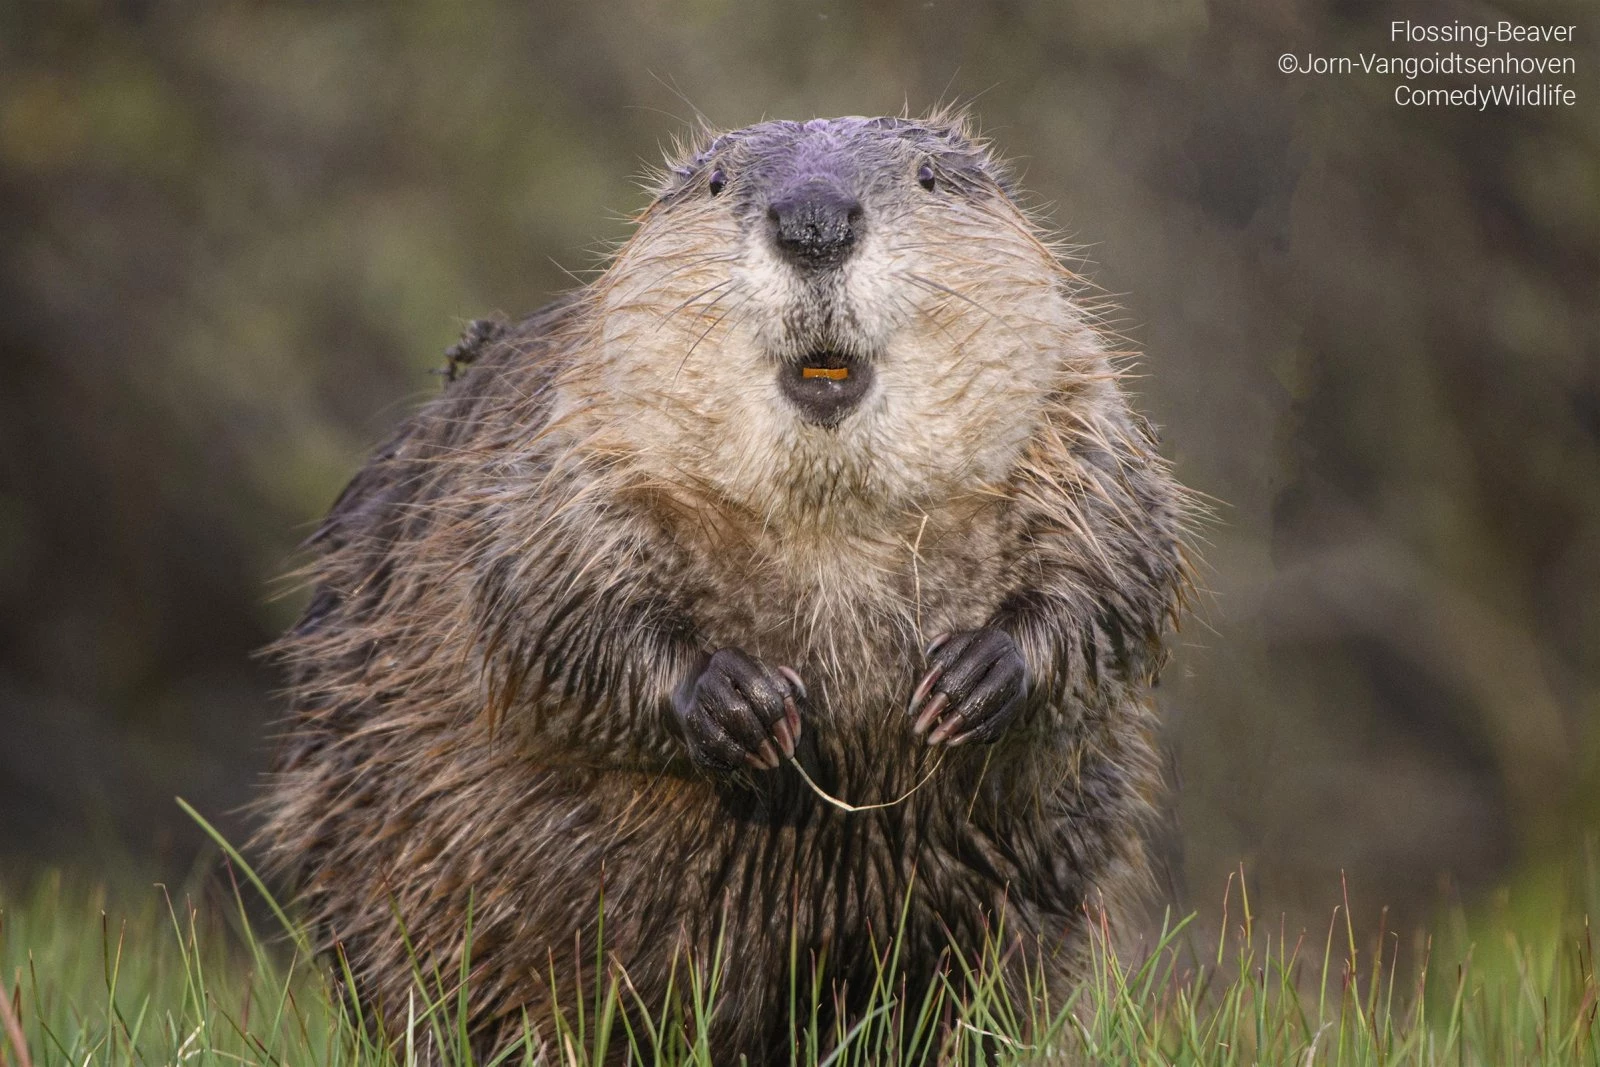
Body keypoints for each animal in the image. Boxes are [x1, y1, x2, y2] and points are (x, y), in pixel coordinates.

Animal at [259, 112, 1190, 1062]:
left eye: (928, 176)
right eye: (716, 183)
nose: (813, 222)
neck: (832, 523)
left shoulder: (1077, 413)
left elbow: (1123, 562)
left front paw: (967, 681)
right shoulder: (572, 439)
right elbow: (545, 602)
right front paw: (745, 705)